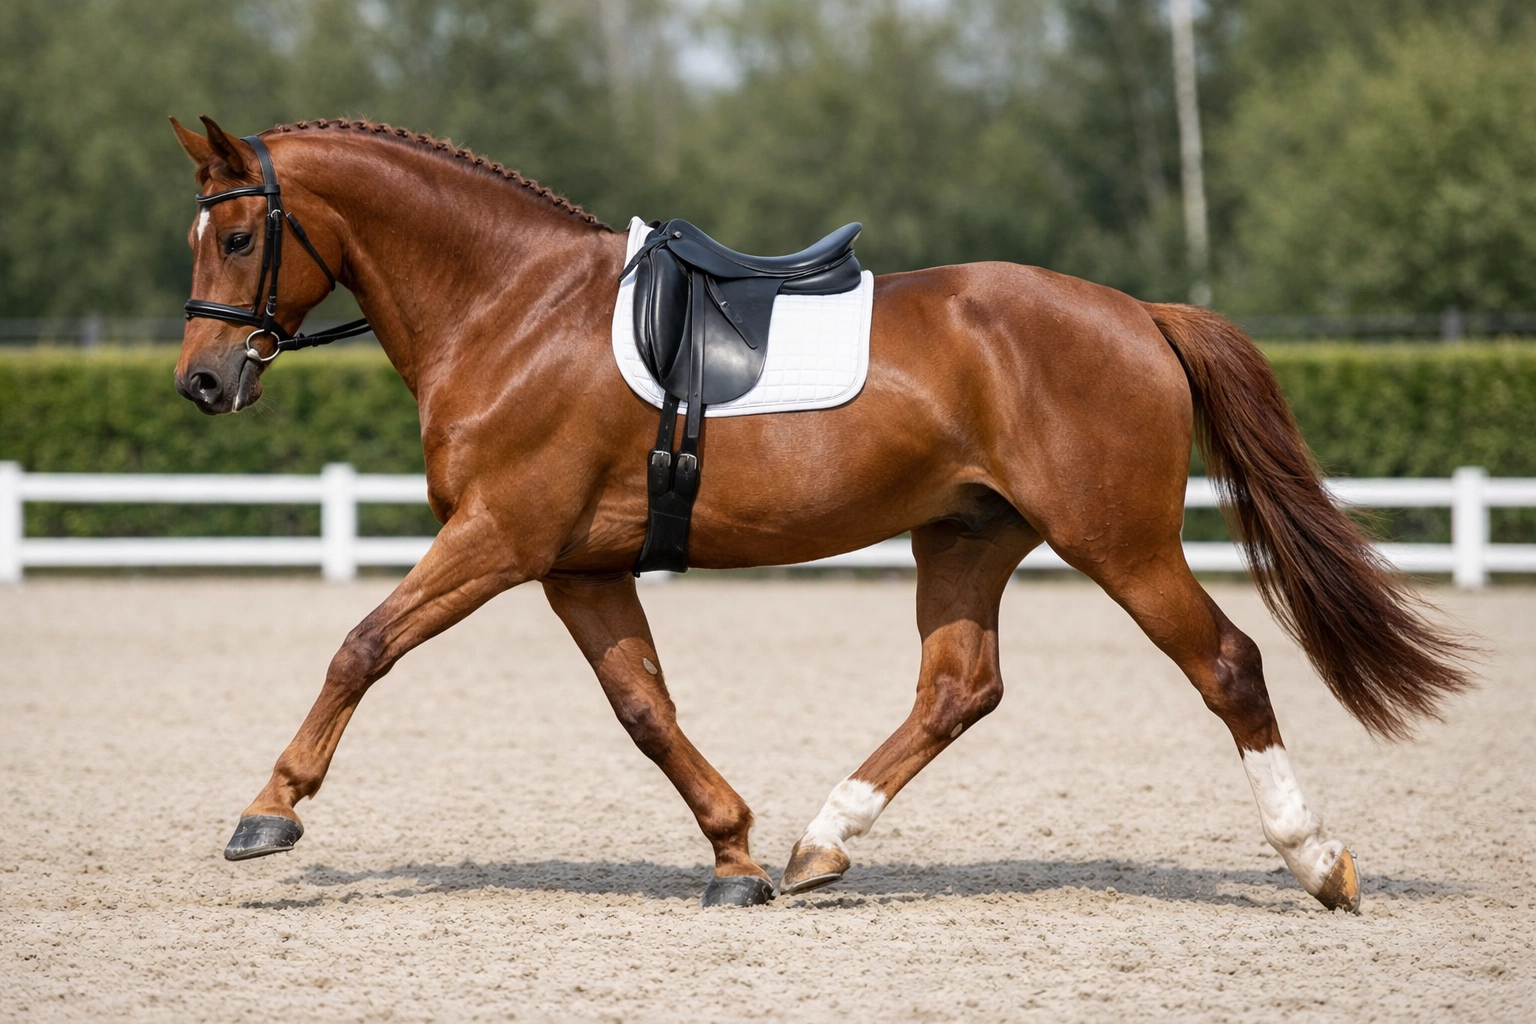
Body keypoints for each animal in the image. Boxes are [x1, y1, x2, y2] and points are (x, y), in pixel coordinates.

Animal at [169, 115, 1469, 910]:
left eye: (236, 234)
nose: (202, 383)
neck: (512, 306)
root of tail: (1140, 313)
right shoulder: (576, 565)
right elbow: (644, 707)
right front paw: (735, 850)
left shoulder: (500, 538)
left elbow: (362, 644)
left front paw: (268, 813)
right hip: (968, 535)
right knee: (959, 689)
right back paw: (820, 842)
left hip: (1121, 541)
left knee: (1229, 663)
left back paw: (1320, 863)